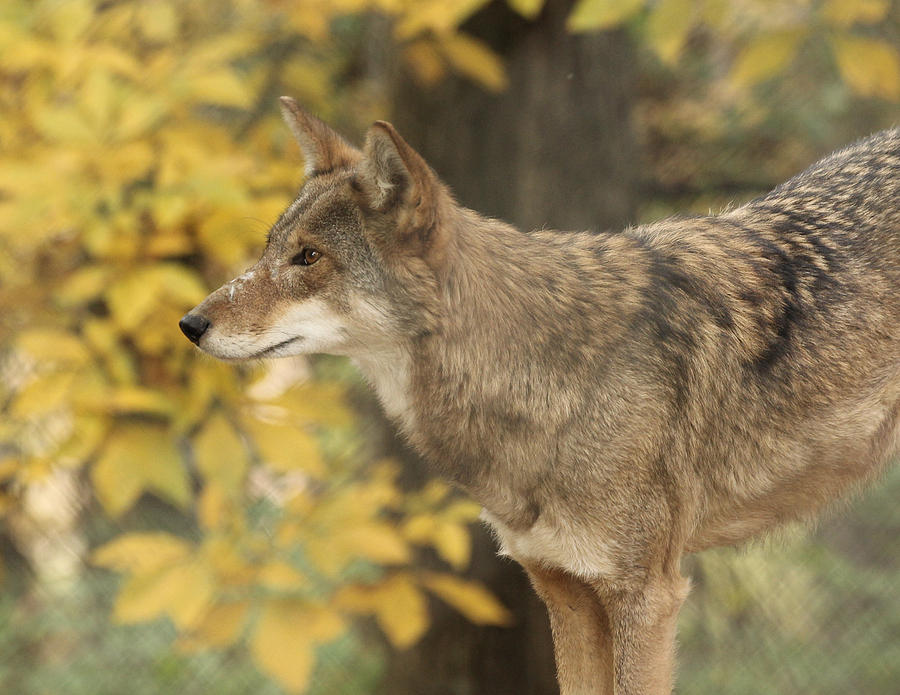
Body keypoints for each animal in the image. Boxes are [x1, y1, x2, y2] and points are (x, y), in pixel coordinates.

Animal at [179, 99, 896, 695]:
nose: (189, 323)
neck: (552, 379)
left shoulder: (646, 596)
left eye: (308, 258)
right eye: (271, 250)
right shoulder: (563, 588)